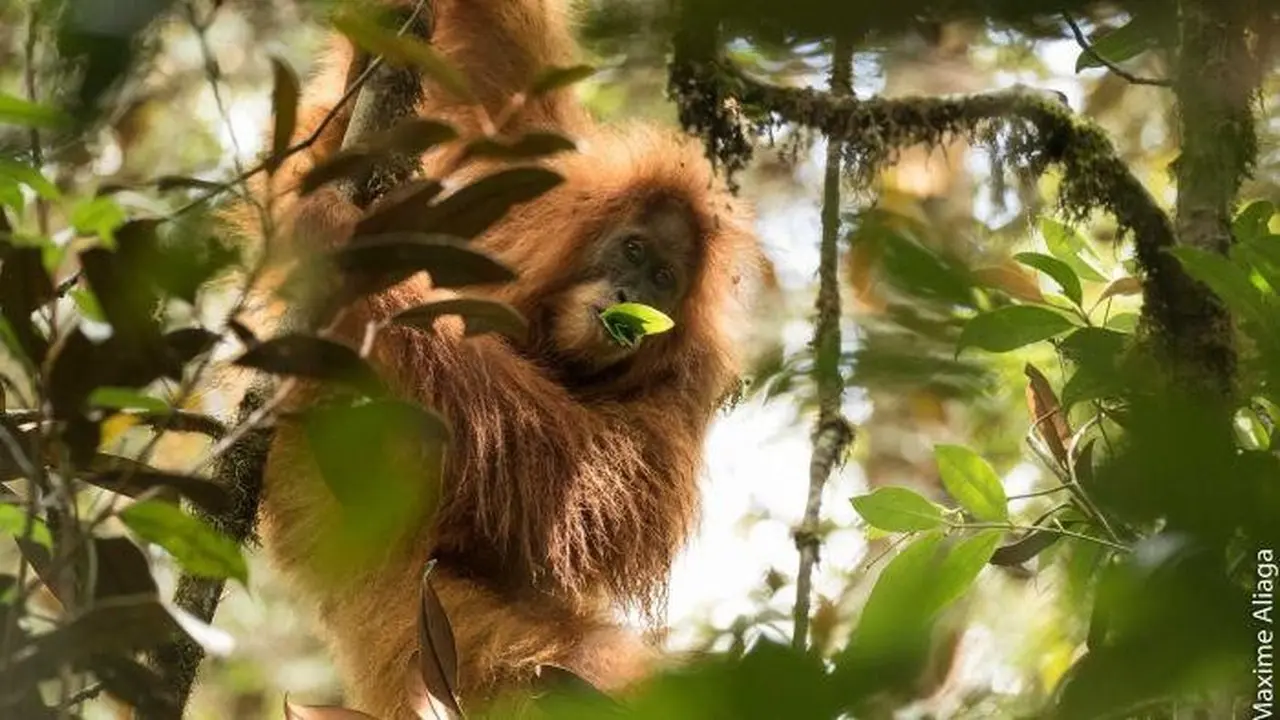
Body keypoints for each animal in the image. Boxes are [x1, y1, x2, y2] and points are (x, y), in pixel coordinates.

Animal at [250, 1, 766, 717]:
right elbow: (494, 64)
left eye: (665, 278)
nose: (631, 296)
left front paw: (346, 251)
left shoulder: (681, 393)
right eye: (633, 250)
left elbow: (575, 497)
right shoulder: (540, 182)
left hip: (426, 614)